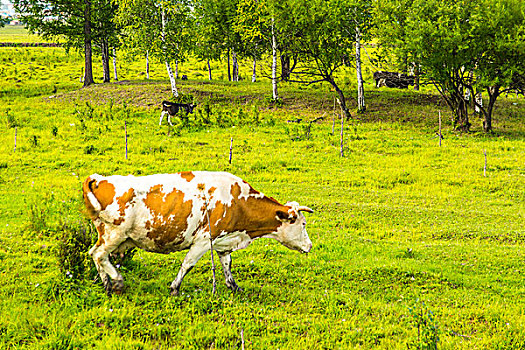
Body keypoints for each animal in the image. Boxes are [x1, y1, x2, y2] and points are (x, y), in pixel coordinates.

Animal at [81, 172, 312, 296]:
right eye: (302, 224)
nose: (310, 246)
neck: (238, 201)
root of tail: (101, 179)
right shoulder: (203, 240)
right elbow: (188, 264)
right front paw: (175, 288)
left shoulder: (223, 240)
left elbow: (227, 265)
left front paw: (234, 286)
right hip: (114, 234)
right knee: (98, 254)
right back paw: (116, 281)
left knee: (96, 255)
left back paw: (107, 284)